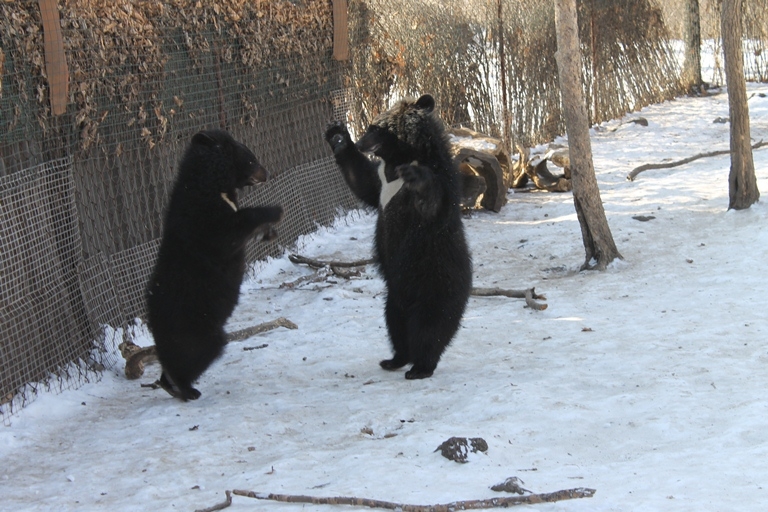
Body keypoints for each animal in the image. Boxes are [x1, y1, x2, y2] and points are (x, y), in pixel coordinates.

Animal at [146, 128, 284, 400]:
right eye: (251, 159)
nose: (266, 173)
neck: (213, 184)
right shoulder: (203, 219)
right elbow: (230, 230)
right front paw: (275, 210)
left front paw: (268, 233)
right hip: (197, 329)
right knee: (193, 357)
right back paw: (186, 389)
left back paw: (170, 384)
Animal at [322, 94, 472, 378]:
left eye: (376, 128)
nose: (361, 142)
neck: (399, 159)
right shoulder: (381, 181)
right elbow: (363, 181)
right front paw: (337, 136)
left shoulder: (436, 182)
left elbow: (430, 200)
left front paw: (416, 177)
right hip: (394, 295)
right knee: (395, 323)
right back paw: (395, 358)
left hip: (434, 279)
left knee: (430, 326)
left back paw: (420, 367)